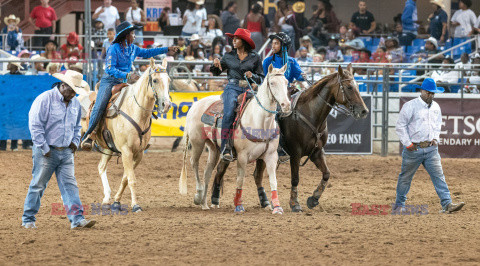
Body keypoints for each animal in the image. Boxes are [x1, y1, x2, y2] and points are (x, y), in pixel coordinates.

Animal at [87, 57, 172, 212]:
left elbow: (126, 178)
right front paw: (135, 205)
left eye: (168, 80)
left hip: (108, 147)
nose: (167, 105)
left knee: (101, 167)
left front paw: (116, 202)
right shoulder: (126, 151)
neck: (136, 112)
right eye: (155, 80)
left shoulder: (138, 153)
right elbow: (131, 179)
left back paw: (107, 198)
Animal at [178, 64, 290, 214]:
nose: (286, 105)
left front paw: (277, 207)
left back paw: (204, 204)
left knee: (208, 172)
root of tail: (195, 105)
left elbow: (273, 181)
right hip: (197, 143)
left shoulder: (271, 156)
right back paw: (198, 195)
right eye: (272, 83)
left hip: (214, 148)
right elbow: (240, 180)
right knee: (194, 164)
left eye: (286, 82)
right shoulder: (242, 156)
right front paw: (238, 205)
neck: (259, 121)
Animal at [208, 64, 370, 212]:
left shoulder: (317, 152)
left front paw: (313, 199)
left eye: (357, 86)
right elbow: (295, 178)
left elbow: (326, 174)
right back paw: (215, 199)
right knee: (222, 170)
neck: (309, 113)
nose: (364, 111)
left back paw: (264, 202)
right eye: (349, 87)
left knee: (255, 175)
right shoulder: (295, 153)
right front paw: (294, 203)